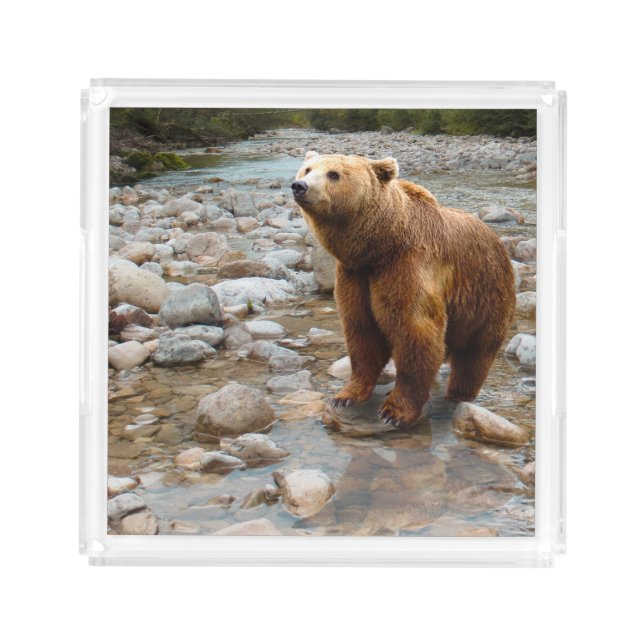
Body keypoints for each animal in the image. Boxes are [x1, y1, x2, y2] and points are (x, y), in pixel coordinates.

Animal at [291, 151, 516, 427]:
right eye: (307, 169)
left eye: (334, 174)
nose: (300, 186)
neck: (380, 246)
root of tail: (497, 240)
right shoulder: (355, 276)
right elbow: (361, 332)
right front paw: (345, 396)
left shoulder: (407, 266)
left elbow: (415, 332)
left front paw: (394, 411)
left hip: (486, 294)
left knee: (475, 354)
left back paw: (458, 393)